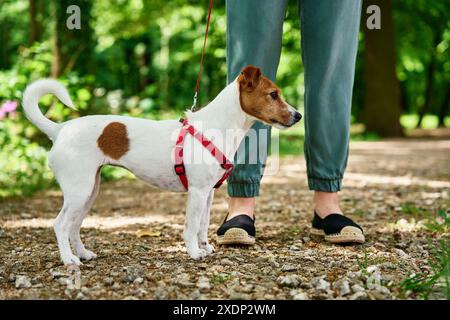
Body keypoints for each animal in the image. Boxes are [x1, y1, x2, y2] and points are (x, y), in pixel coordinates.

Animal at [22, 65, 302, 264]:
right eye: (273, 95)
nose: (298, 115)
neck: (217, 127)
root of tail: (59, 130)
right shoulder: (197, 193)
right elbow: (191, 226)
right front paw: (194, 253)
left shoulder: (208, 194)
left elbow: (203, 226)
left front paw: (205, 247)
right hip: (79, 191)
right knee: (60, 225)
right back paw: (69, 259)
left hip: (89, 191)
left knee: (73, 226)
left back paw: (82, 254)